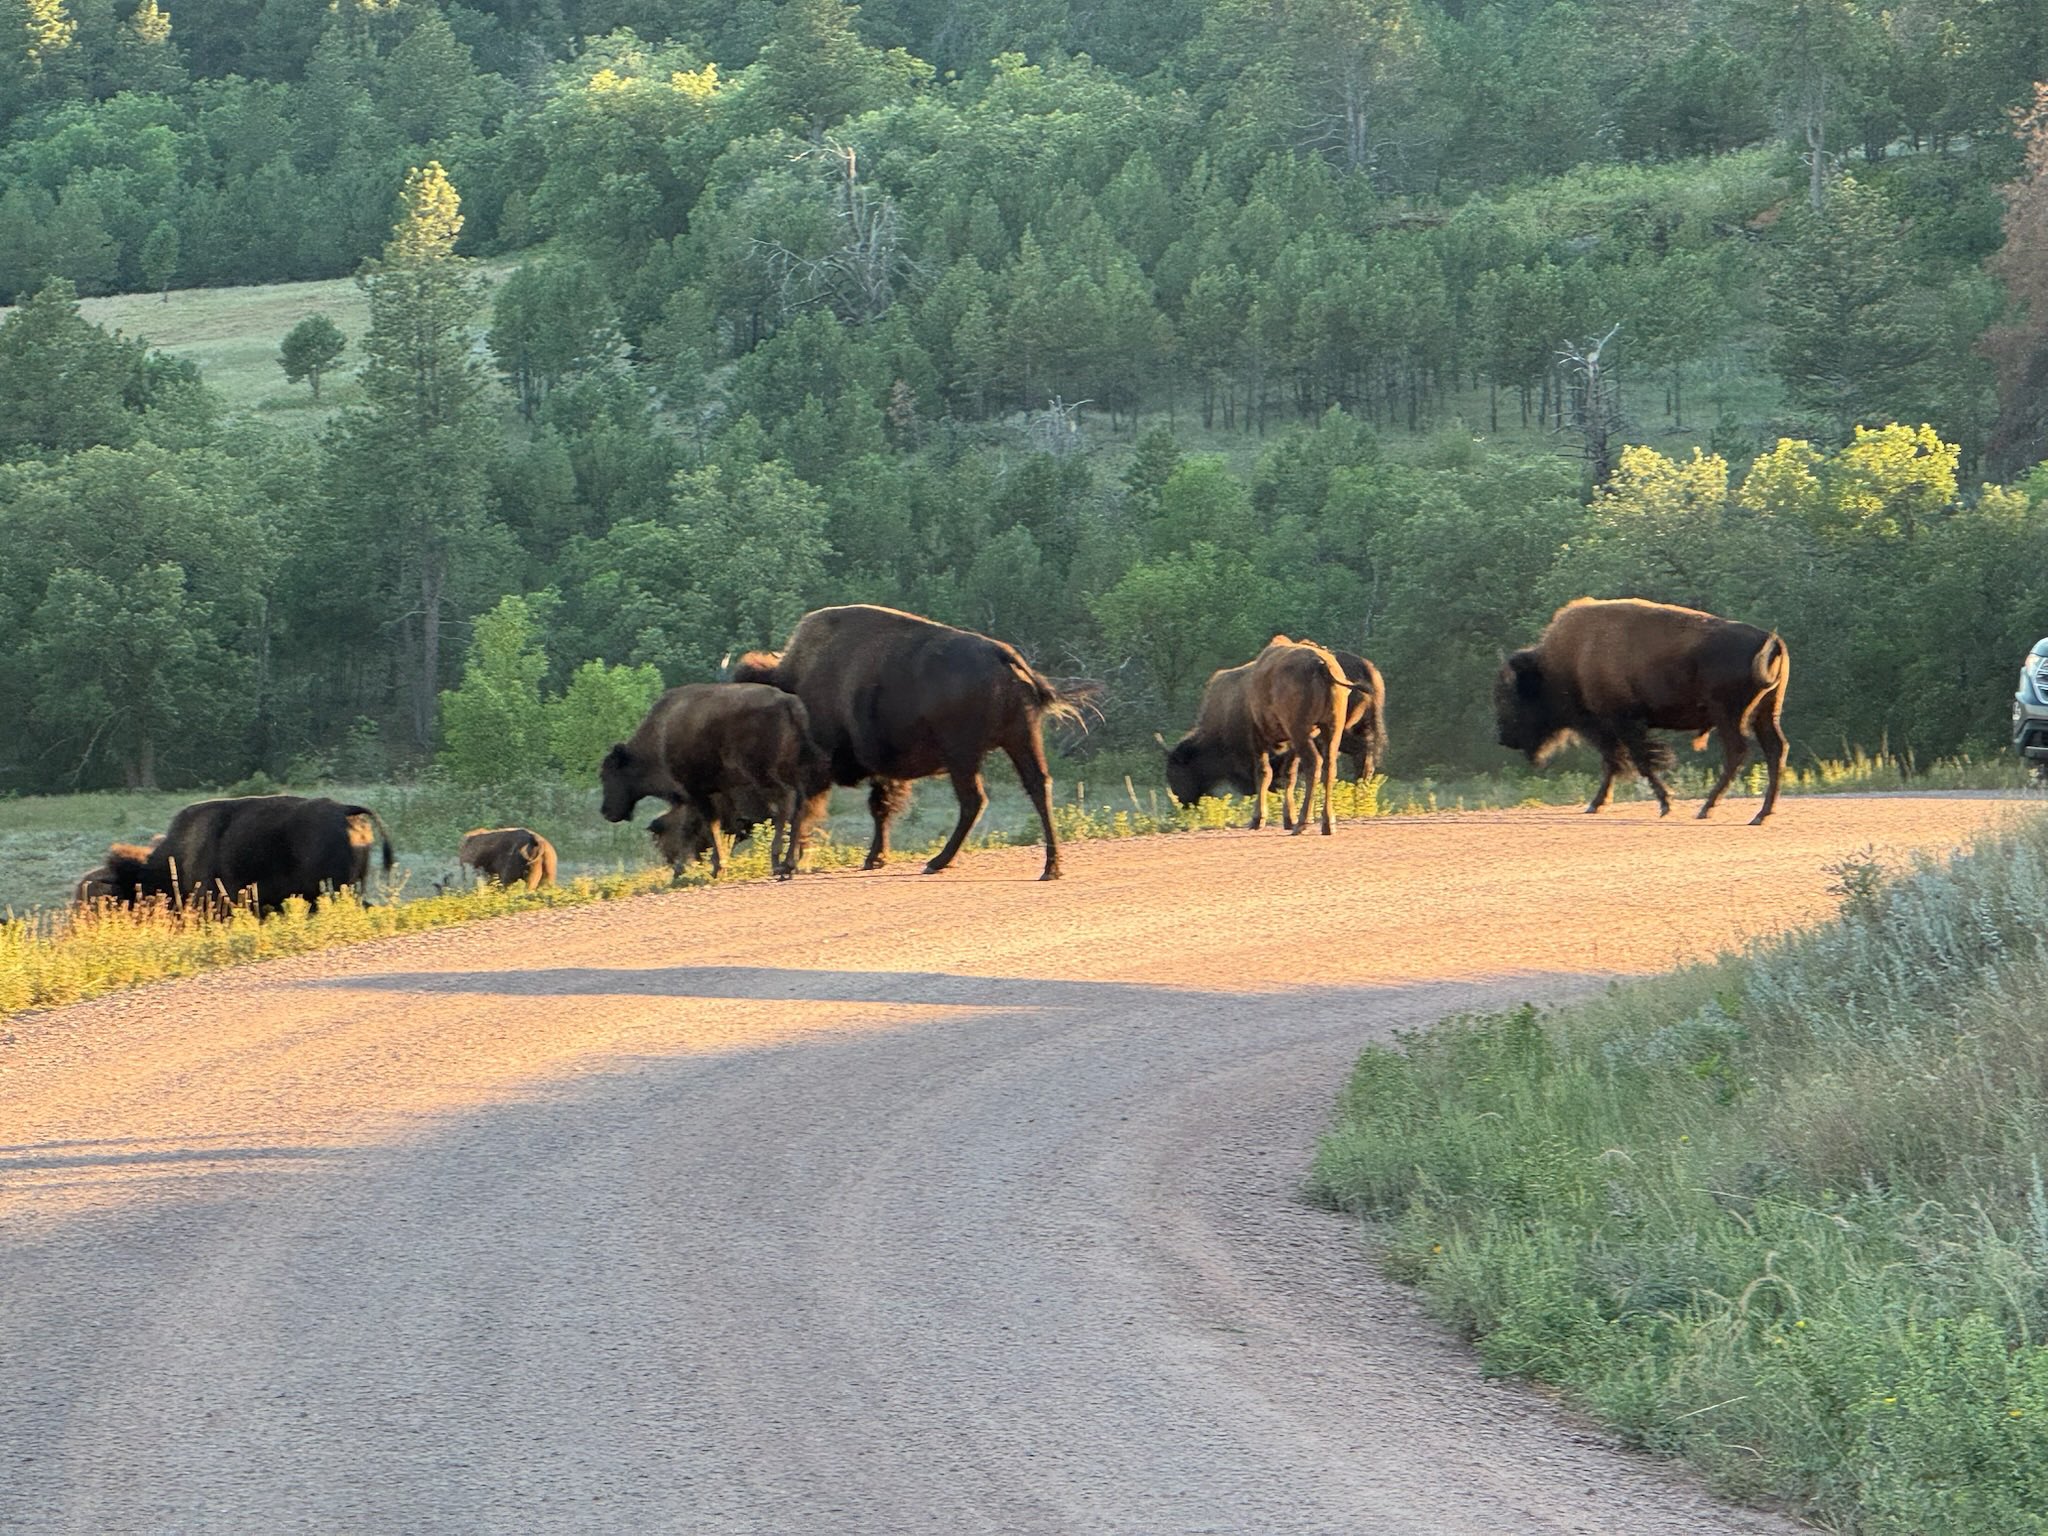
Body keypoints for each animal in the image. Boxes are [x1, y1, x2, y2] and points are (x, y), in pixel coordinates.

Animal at [600, 683, 828, 878]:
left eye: (608, 775)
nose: (606, 812)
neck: (661, 736)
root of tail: (789, 703)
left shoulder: (696, 792)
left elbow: (707, 826)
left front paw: (715, 867)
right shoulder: (703, 795)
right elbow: (695, 829)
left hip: (763, 774)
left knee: (784, 803)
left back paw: (778, 863)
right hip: (796, 774)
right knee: (800, 808)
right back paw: (790, 864)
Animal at [732, 604, 1082, 880]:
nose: (740, 825)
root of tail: (1004, 657)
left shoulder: (816, 768)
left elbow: (803, 811)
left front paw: (787, 866)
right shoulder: (881, 771)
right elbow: (879, 808)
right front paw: (874, 859)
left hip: (965, 755)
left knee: (974, 800)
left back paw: (937, 862)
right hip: (1021, 739)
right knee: (1037, 786)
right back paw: (1051, 868)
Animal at [1495, 597, 1791, 824]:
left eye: (1511, 699)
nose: (1504, 739)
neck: (1571, 658)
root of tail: (1769, 639)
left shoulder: (1619, 723)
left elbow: (1635, 761)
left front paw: (1665, 804)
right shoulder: (1614, 728)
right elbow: (1615, 762)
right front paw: (1597, 804)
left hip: (1728, 716)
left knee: (1738, 752)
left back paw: (1707, 809)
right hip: (1766, 713)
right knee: (1775, 749)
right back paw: (1760, 814)